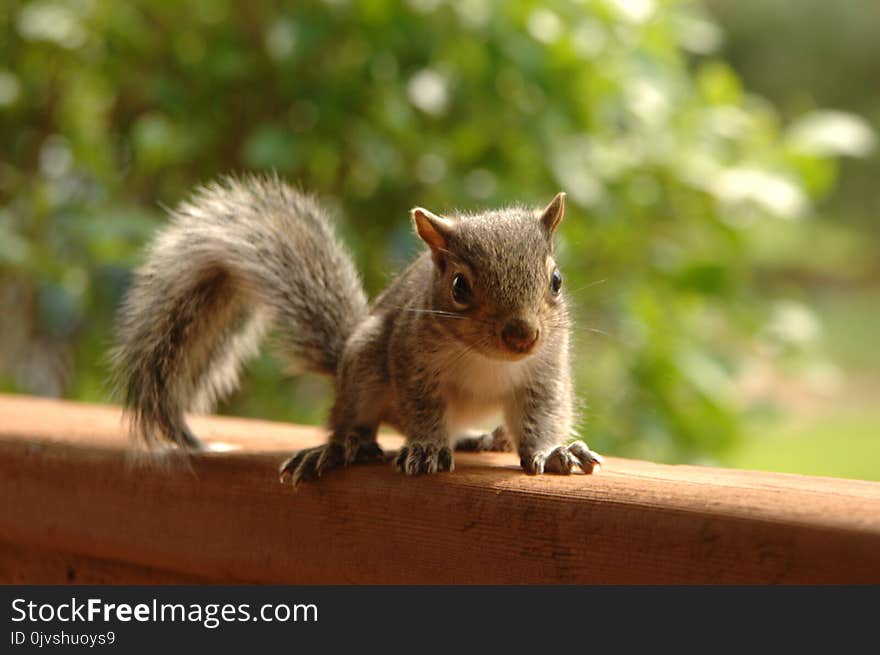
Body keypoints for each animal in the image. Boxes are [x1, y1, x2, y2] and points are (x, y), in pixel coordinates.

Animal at [110, 174, 600, 482]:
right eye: (459, 287)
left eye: (556, 281)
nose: (523, 336)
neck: (487, 359)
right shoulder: (411, 360)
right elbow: (423, 410)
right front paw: (426, 447)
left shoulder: (544, 372)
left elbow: (542, 415)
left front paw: (552, 451)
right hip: (364, 362)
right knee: (352, 420)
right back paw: (343, 447)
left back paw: (484, 438)